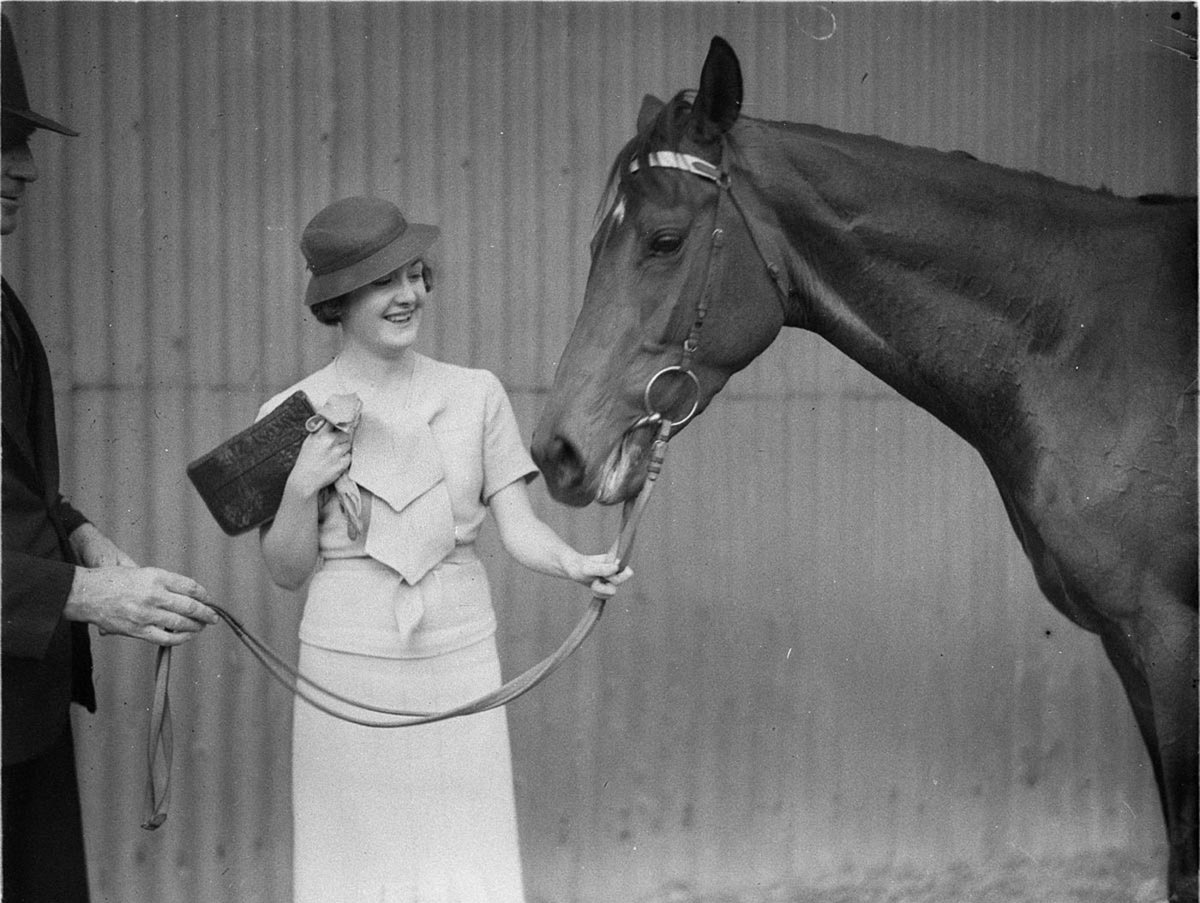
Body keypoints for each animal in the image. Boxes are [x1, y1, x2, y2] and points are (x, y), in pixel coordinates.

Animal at [530, 36, 1198, 901]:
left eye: (665, 240)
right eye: (592, 244)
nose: (556, 449)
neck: (1092, 340)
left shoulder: (1172, 639)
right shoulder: (1130, 649)